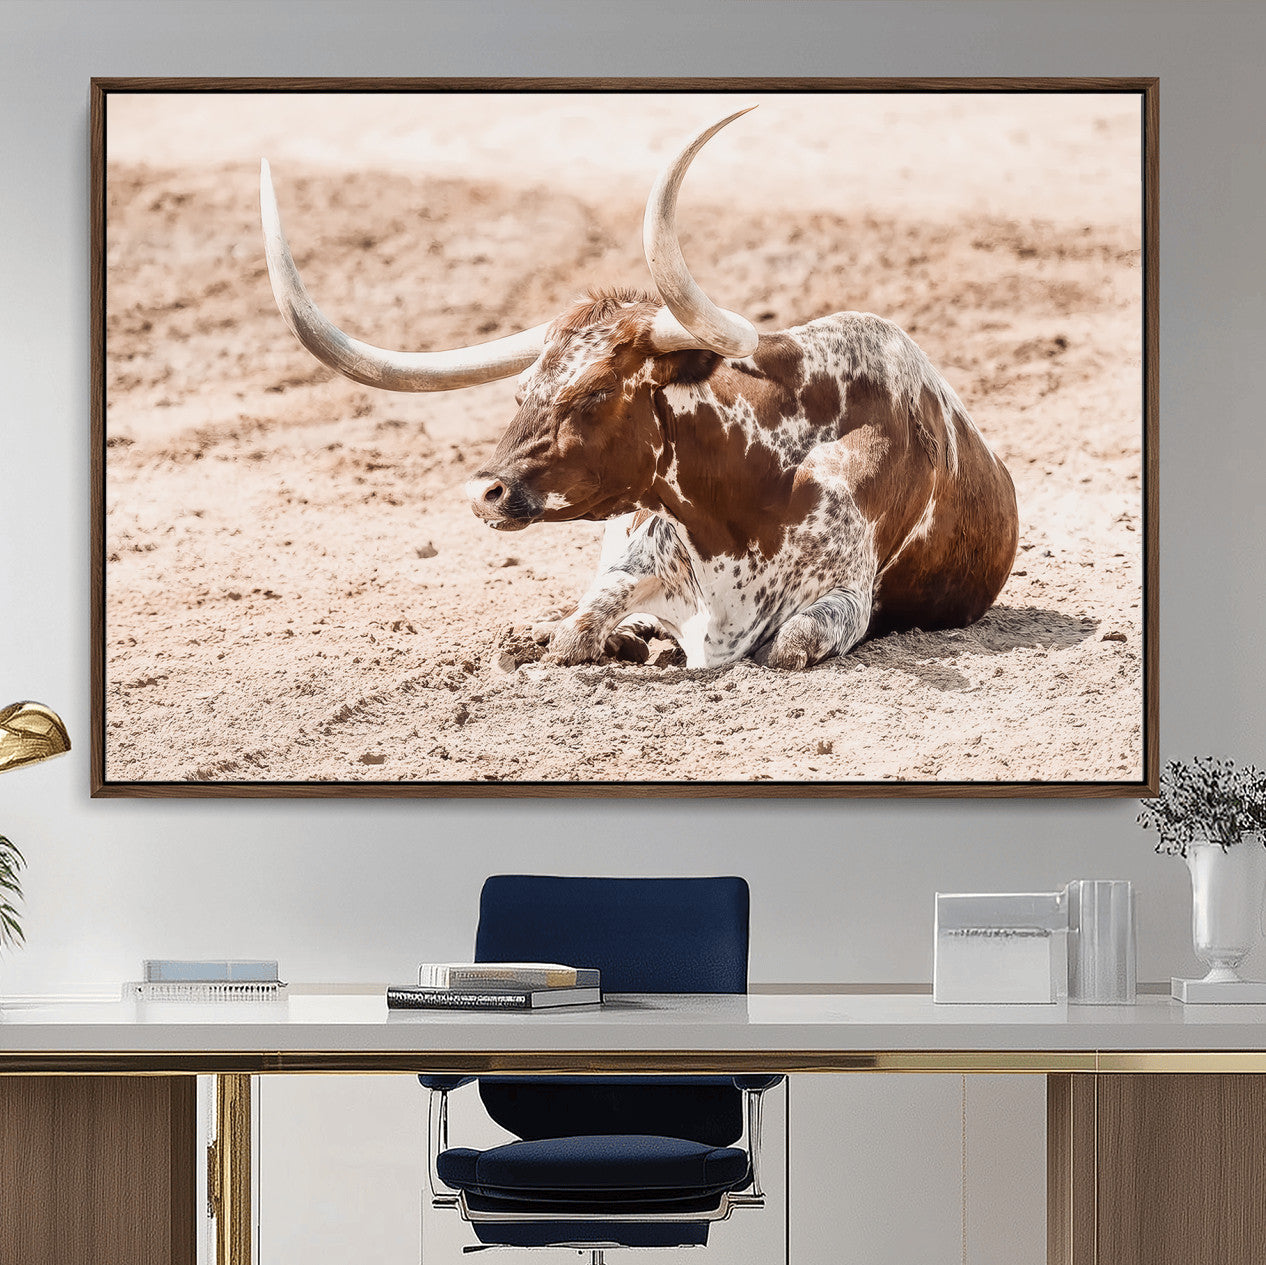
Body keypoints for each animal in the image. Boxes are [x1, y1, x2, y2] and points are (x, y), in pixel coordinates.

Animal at [260, 109, 1018, 670]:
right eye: (522, 391)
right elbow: (576, 631)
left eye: (596, 392)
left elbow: (787, 646)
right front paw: (594, 638)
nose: (485, 492)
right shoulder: (631, 561)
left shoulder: (843, 601)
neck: (749, 495)